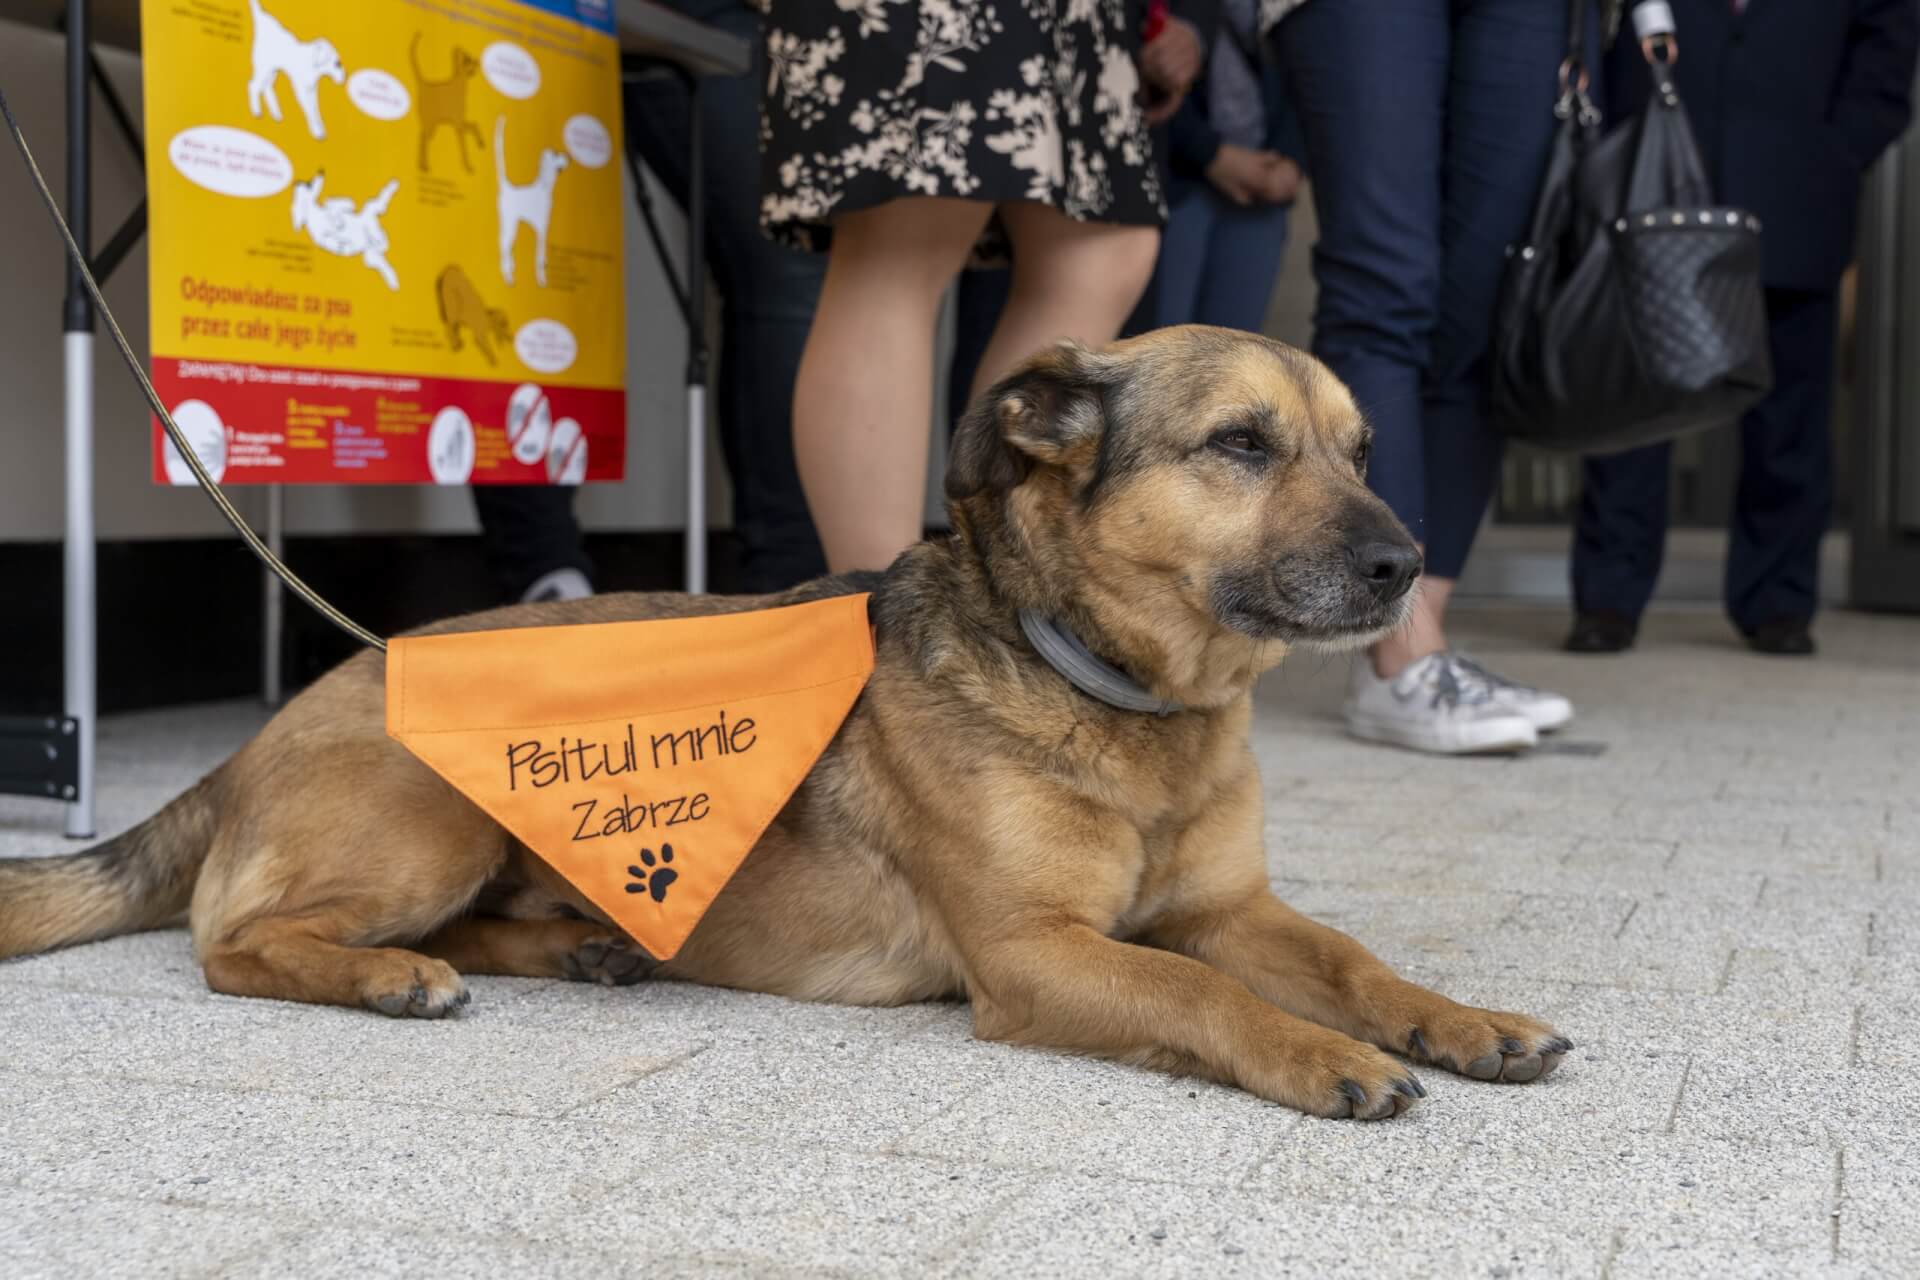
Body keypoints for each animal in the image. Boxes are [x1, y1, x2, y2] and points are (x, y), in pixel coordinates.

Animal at [0, 330, 1574, 1120]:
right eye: (1241, 444)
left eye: (1360, 451)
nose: (1405, 564)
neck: (1119, 696)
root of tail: (254, 739)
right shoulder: (1037, 954)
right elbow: (1204, 996)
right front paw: (1320, 1057)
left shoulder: (1233, 908)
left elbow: (1353, 959)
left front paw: (1463, 1020)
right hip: (427, 813)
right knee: (235, 943)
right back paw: (388, 978)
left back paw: (574, 949)